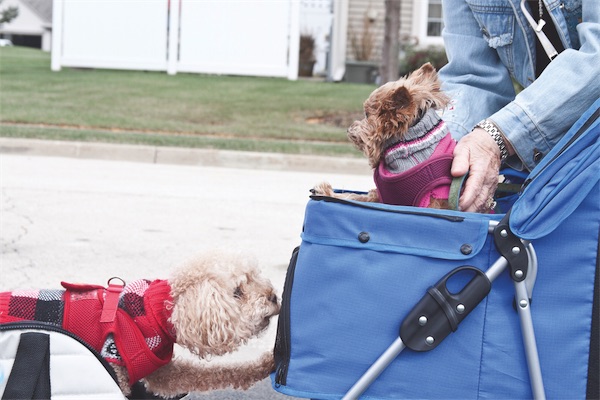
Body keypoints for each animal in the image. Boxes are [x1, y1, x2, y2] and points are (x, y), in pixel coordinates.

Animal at [0, 250, 282, 396]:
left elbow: (214, 373)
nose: (273, 297)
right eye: (237, 292)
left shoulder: (163, 372)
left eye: (255, 277)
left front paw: (266, 362)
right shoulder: (115, 368)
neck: (155, 311)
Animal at [312, 62, 458, 209]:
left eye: (366, 114)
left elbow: (354, 196)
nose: (349, 128)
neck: (413, 144)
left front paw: (326, 192)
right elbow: (357, 196)